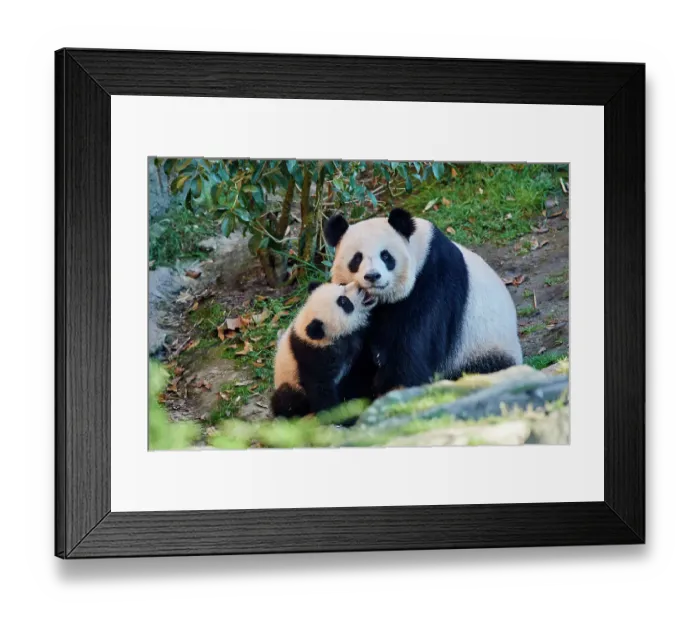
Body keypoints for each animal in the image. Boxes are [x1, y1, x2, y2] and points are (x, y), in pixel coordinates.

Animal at [271, 281, 377, 418]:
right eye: (343, 302)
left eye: (341, 285)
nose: (360, 287)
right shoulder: (312, 357)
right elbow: (320, 389)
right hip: (290, 383)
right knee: (286, 399)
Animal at [324, 207, 523, 398]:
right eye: (357, 258)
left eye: (386, 256)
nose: (372, 276)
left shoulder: (433, 280)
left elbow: (414, 345)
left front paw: (394, 389)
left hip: (481, 347)